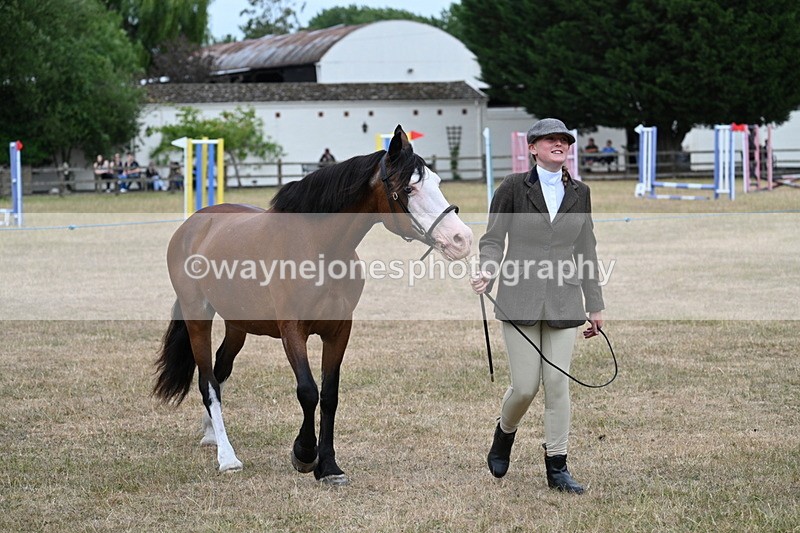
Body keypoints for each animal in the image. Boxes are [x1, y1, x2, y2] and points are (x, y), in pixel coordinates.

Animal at [153, 125, 473, 485]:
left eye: (437, 182)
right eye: (409, 188)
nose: (462, 238)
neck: (319, 249)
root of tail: (193, 225)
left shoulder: (339, 331)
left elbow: (329, 395)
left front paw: (329, 466)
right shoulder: (293, 330)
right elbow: (307, 391)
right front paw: (304, 455)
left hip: (237, 325)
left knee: (220, 372)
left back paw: (211, 434)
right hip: (198, 317)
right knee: (207, 381)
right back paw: (227, 456)